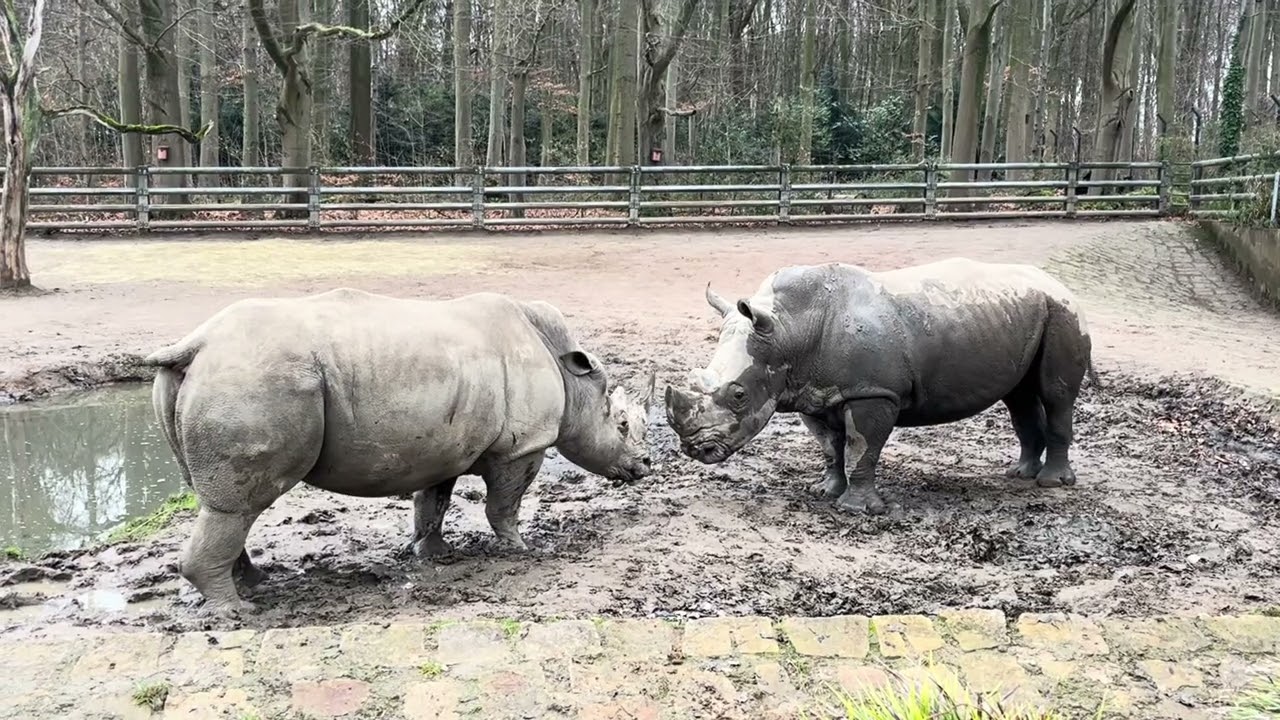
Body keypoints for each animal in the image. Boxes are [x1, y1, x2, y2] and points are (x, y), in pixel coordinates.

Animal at [144, 288, 655, 615]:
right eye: (621, 424)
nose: (645, 468)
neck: (571, 373)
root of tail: (197, 345)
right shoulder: (522, 445)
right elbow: (503, 503)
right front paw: (521, 549)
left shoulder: (446, 443)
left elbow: (434, 501)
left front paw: (432, 554)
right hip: (254, 381)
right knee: (237, 506)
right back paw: (237, 613)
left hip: (223, 379)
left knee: (222, 503)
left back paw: (252, 584)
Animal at [664, 258, 1096, 515]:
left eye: (739, 395)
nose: (694, 450)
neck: (789, 329)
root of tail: (1058, 283)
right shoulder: (811, 392)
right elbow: (830, 447)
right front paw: (824, 492)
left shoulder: (872, 391)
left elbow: (861, 447)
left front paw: (856, 510)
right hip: (1024, 311)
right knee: (1019, 398)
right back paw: (1018, 474)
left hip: (1063, 312)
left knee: (1056, 396)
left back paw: (1051, 484)